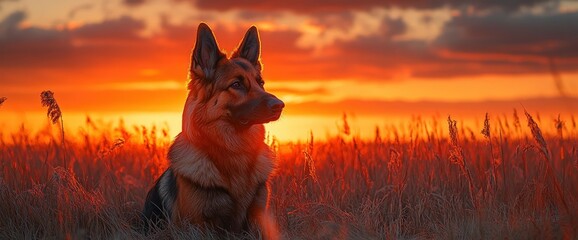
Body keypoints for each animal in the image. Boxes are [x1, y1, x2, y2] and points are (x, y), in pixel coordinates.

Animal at [142, 23, 282, 238]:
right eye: (236, 84)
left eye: (261, 83)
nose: (280, 105)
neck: (235, 152)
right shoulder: (199, 225)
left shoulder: (257, 217)